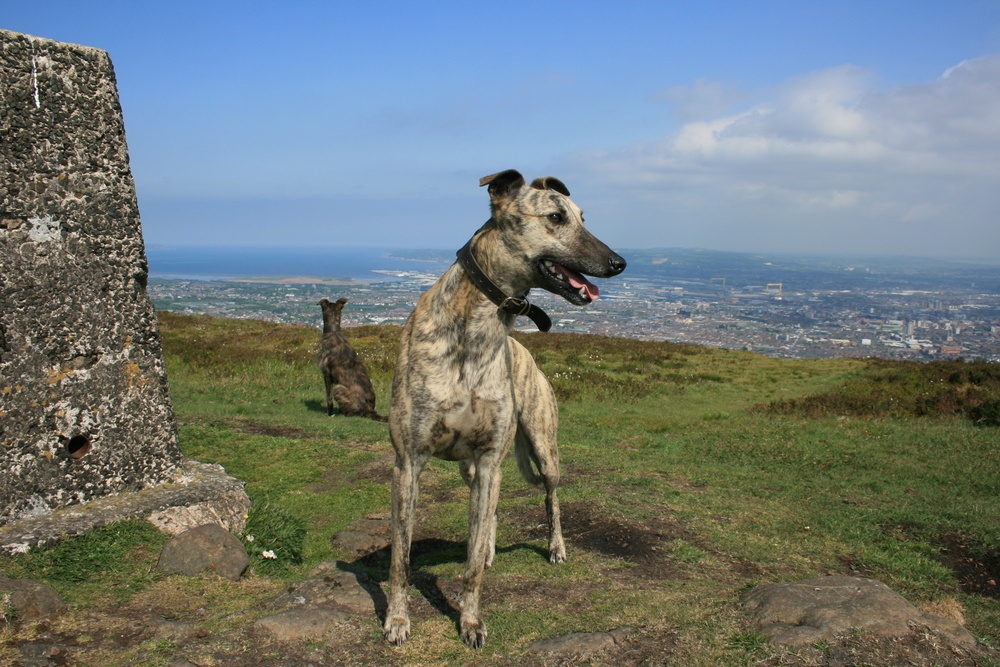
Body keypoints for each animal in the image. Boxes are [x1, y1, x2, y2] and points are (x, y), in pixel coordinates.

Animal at [382, 170, 624, 648]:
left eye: (583, 217)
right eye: (555, 217)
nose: (618, 262)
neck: (477, 328)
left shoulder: (491, 457)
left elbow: (473, 567)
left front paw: (471, 621)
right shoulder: (409, 463)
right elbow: (401, 557)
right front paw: (398, 620)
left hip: (542, 450)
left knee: (550, 499)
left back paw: (555, 547)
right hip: (470, 468)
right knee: (488, 515)